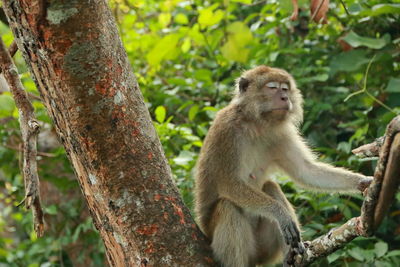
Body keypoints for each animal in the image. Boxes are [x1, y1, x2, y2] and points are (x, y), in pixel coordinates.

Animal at [194, 65, 372, 267]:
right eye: (272, 88)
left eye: (285, 89)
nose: (285, 98)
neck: (256, 124)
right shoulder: (225, 131)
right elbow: (228, 184)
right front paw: (279, 213)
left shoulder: (281, 134)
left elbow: (306, 171)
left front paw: (363, 181)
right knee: (228, 206)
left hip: (265, 251)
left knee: (270, 186)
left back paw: (292, 253)